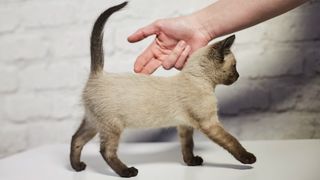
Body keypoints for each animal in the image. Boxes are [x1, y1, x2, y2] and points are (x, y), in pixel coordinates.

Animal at [69, 1, 255, 178]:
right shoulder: (209, 122)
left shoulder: (185, 125)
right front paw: (248, 158)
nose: (238, 76)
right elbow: (232, 141)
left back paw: (77, 167)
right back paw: (127, 172)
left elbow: (188, 146)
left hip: (94, 122)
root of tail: (98, 74)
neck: (200, 80)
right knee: (106, 151)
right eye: (234, 66)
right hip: (112, 126)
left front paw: (191, 162)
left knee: (76, 139)